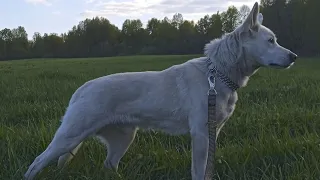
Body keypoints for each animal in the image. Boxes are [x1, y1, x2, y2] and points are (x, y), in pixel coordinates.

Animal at [24, 1, 298, 180]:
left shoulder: (214, 131)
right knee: (37, 162)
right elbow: (199, 170)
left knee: (108, 165)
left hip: (123, 138)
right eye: (271, 41)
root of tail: (83, 88)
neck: (218, 74)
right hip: (69, 137)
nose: (294, 57)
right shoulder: (200, 133)